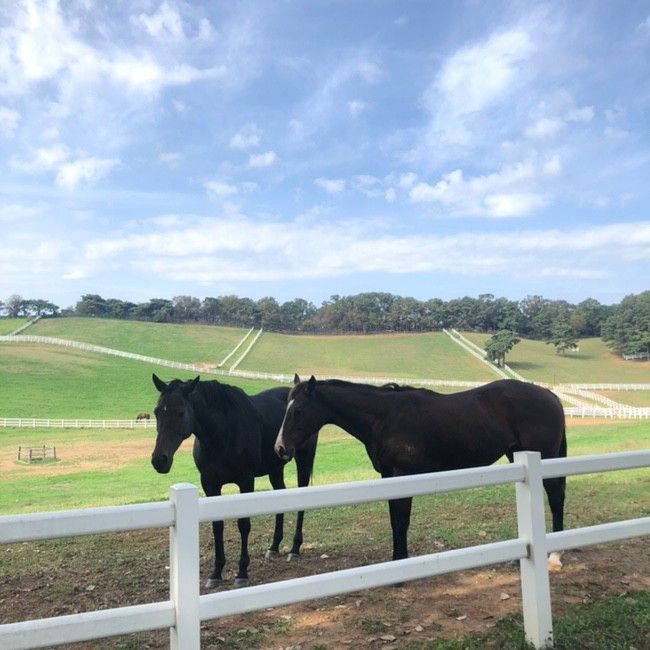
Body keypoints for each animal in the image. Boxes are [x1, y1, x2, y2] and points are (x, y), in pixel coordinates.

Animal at [150, 370, 316, 588]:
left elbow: (243, 524)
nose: (159, 460)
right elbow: (217, 526)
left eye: (180, 412)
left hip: (303, 460)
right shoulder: (210, 484)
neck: (223, 434)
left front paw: (242, 572)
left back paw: (295, 549)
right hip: (275, 467)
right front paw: (216, 573)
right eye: (157, 411)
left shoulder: (246, 481)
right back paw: (274, 546)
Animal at [274, 378, 560, 560]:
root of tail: (550, 395)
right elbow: (394, 520)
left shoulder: (403, 474)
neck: (385, 417)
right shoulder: (389, 476)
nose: (280, 448)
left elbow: (402, 521)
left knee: (556, 497)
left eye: (298, 410)